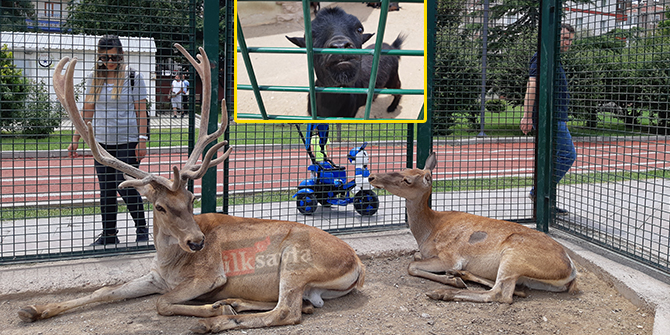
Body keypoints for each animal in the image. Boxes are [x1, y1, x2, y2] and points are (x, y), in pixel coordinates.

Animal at [19, 44, 368, 334]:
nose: (197, 241)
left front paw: (211, 308)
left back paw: (216, 319)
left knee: (287, 311)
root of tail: (358, 264)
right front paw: (32, 309)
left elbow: (162, 303)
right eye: (160, 206)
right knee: (302, 305)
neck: (169, 262)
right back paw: (233, 304)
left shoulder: (211, 275)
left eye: (191, 198)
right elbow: (104, 290)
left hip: (296, 259)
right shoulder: (155, 275)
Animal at [368, 152, 576, 304]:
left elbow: (411, 265)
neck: (428, 232)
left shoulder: (450, 257)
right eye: (404, 168)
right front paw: (454, 276)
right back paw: (464, 277)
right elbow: (416, 256)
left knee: (500, 294)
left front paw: (451, 279)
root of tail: (571, 271)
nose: (372, 176)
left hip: (514, 254)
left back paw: (443, 291)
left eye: (407, 180)